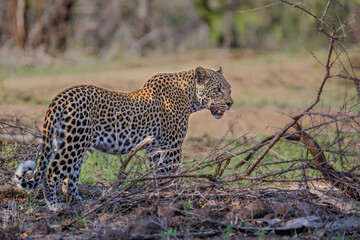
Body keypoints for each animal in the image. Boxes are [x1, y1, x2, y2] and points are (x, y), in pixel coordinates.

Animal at [13, 66, 233, 211]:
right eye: (217, 90)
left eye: (229, 89)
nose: (230, 103)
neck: (190, 96)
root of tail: (60, 96)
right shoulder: (172, 145)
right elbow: (171, 173)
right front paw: (175, 196)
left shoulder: (155, 147)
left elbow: (158, 174)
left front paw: (160, 194)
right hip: (73, 144)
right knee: (51, 174)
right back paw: (54, 206)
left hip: (70, 143)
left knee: (70, 180)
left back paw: (83, 203)